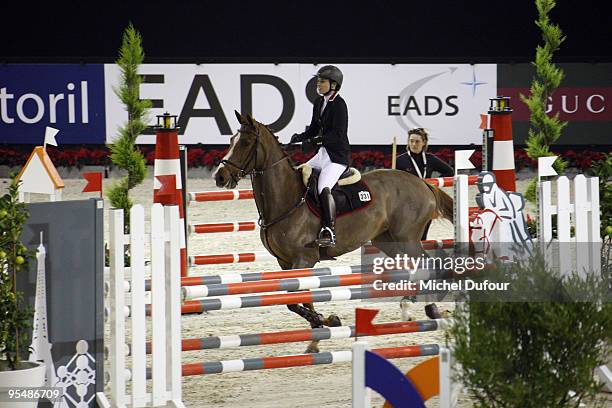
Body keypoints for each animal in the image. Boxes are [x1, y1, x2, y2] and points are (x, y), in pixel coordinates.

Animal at [213, 112, 452, 354]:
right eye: (231, 140)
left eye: (245, 142)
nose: (220, 177)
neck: (286, 199)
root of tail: (421, 182)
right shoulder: (285, 262)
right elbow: (302, 298)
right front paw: (317, 334)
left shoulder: (304, 258)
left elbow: (293, 300)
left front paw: (327, 320)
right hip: (387, 240)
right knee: (416, 266)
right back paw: (420, 306)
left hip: (406, 238)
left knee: (426, 263)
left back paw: (420, 306)